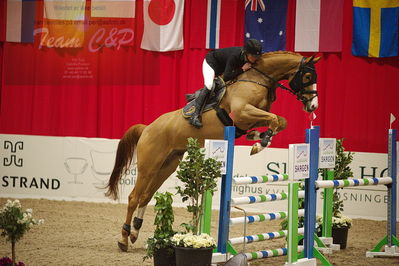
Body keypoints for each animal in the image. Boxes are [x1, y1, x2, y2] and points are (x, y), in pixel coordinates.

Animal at [106, 50, 322, 251]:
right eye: (307, 77)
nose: (313, 106)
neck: (258, 79)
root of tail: (147, 128)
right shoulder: (242, 113)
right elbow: (275, 119)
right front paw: (259, 143)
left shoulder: (251, 118)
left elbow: (280, 121)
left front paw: (258, 139)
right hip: (149, 166)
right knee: (134, 197)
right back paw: (123, 239)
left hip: (167, 165)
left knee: (146, 196)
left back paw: (135, 233)